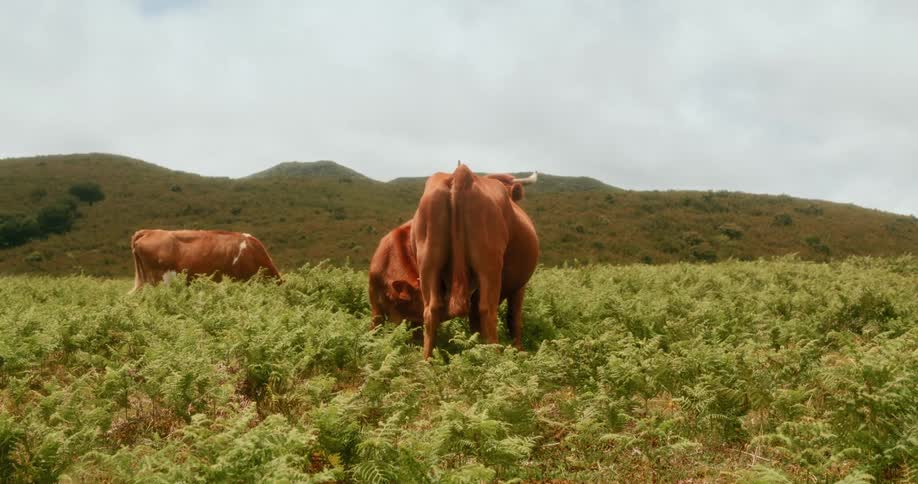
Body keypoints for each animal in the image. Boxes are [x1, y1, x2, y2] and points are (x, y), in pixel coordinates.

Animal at [411, 164, 539, 358]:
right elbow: (513, 317)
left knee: (431, 311)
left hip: (428, 263)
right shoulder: (519, 287)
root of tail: (462, 173)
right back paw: (495, 357)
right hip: (489, 268)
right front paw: (518, 350)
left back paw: (427, 360)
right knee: (488, 311)